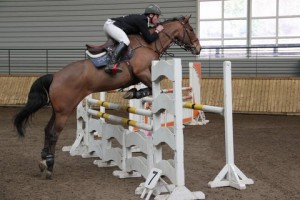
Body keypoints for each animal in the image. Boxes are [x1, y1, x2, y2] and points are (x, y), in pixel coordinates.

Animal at [13, 14, 202, 179]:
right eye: (191, 29)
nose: (198, 48)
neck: (150, 44)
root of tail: (55, 76)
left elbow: (150, 90)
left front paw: (133, 92)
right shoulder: (142, 73)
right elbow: (152, 88)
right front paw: (134, 92)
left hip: (58, 110)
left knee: (47, 130)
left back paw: (43, 161)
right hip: (65, 111)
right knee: (53, 134)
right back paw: (50, 166)